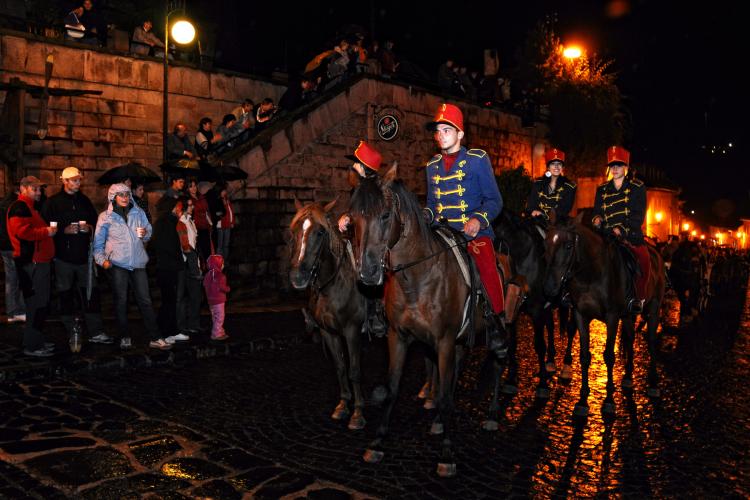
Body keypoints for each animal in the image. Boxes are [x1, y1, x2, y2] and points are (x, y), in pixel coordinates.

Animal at [290, 198, 368, 430]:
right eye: (293, 231)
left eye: (320, 232)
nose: (298, 277)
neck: (333, 286)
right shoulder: (329, 332)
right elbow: (341, 367)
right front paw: (343, 405)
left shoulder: (352, 331)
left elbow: (354, 370)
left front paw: (358, 413)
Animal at [348, 163, 506, 476]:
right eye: (355, 217)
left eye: (385, 215)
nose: (368, 273)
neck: (417, 278)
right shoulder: (399, 338)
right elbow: (394, 388)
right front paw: (378, 441)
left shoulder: (443, 341)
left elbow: (443, 397)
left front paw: (446, 454)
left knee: (497, 364)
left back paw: (493, 414)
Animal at [496, 209, 580, 396]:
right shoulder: (514, 309)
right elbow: (512, 343)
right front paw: (511, 379)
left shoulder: (536, 311)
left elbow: (539, 345)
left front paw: (542, 384)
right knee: (550, 326)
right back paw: (550, 360)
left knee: (571, 330)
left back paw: (566, 366)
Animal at [544, 213, 668, 416]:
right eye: (546, 242)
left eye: (568, 245)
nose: (550, 288)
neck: (591, 276)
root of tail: (656, 252)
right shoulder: (580, 315)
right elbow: (585, 356)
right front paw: (582, 399)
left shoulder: (612, 317)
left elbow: (609, 356)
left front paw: (609, 400)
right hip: (628, 315)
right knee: (631, 338)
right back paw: (628, 377)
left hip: (654, 309)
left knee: (650, 341)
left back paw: (654, 383)